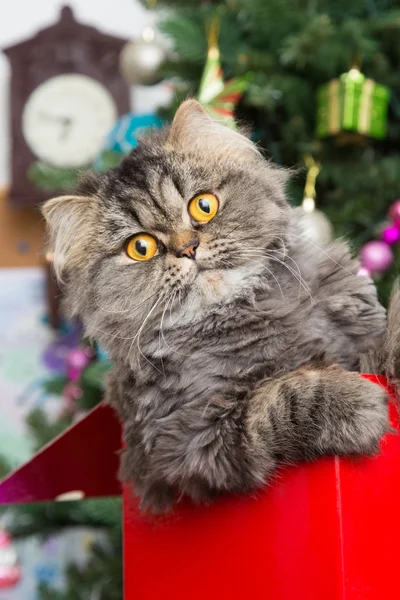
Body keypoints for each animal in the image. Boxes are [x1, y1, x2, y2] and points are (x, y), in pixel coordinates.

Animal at [42, 101, 398, 512]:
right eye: (141, 247)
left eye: (204, 206)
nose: (188, 248)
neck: (251, 309)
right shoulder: (190, 443)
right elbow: (280, 396)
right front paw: (354, 404)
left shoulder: (359, 345)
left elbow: (380, 350)